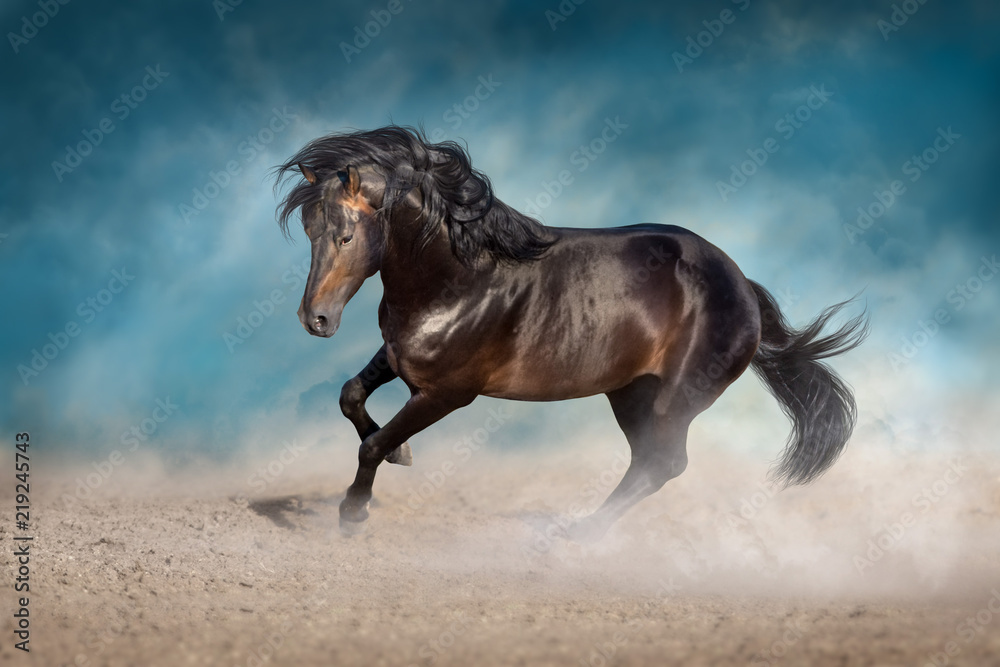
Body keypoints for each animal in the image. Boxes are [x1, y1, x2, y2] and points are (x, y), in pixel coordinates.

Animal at [272, 125, 869, 540]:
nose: (315, 320)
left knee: (664, 462)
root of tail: (742, 285)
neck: (461, 281)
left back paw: (581, 536)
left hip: (674, 400)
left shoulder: (447, 393)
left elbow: (372, 444)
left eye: (346, 236)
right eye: (309, 229)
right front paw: (404, 456)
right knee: (650, 462)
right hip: (631, 392)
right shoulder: (398, 357)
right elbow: (352, 397)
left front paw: (353, 512)